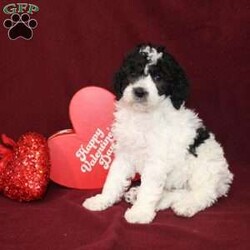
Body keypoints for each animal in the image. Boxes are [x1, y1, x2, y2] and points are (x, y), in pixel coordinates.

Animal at [83, 44, 233, 224]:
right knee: (178, 191)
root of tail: (224, 179)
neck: (143, 115)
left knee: (203, 192)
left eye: (158, 77)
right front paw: (102, 199)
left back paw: (187, 204)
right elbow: (114, 179)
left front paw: (140, 212)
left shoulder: (156, 160)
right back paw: (146, 197)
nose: (139, 91)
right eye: (133, 74)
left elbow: (149, 188)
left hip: (205, 165)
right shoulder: (125, 153)